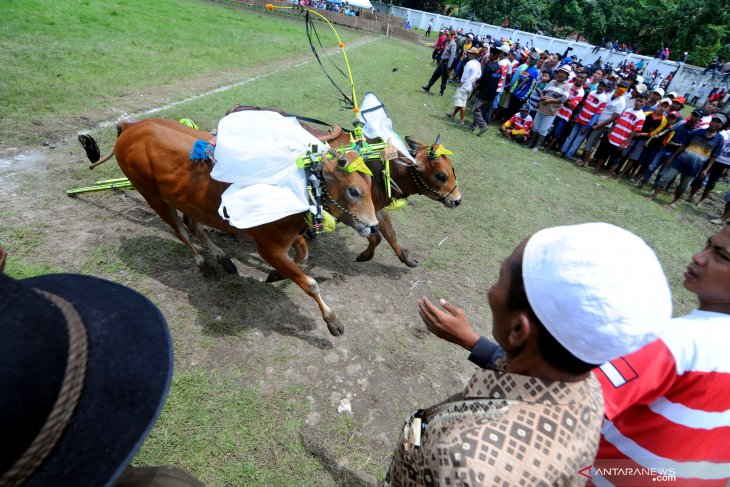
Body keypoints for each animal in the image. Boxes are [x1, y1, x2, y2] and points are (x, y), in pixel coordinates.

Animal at [77, 120, 378, 338]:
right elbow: (310, 282)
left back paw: (223, 258)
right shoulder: (268, 247)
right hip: (153, 196)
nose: (373, 227)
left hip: (189, 201)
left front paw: (275, 275)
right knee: (182, 232)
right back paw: (203, 263)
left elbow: (302, 256)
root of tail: (130, 127)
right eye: (353, 191)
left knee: (195, 228)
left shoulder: (288, 237)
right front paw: (332, 320)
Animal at [226, 105, 460, 268]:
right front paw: (364, 256)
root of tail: (235, 109)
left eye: (452, 170)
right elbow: (376, 236)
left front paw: (407, 260)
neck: (381, 165)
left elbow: (390, 236)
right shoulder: (350, 213)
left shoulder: (376, 210)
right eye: (441, 175)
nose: (457, 200)